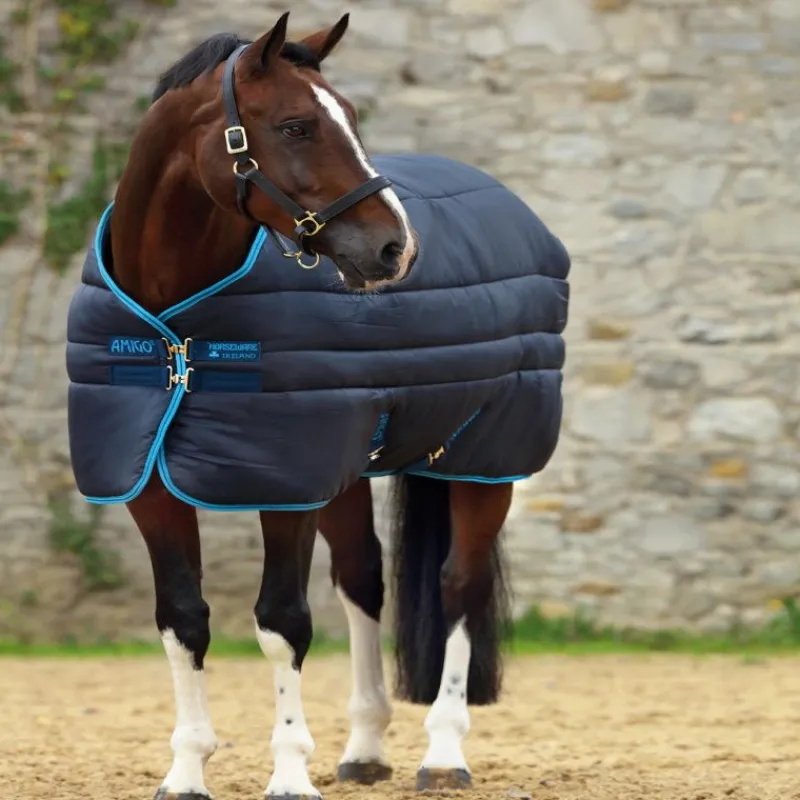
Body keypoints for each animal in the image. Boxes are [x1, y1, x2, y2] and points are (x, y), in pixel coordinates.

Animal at [65, 11, 570, 800]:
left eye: (352, 120)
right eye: (297, 125)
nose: (396, 248)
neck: (177, 331)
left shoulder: (286, 486)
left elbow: (282, 624)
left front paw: (289, 773)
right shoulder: (151, 485)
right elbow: (183, 619)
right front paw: (186, 770)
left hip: (484, 460)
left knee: (459, 585)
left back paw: (443, 753)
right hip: (349, 472)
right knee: (364, 580)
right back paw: (364, 747)